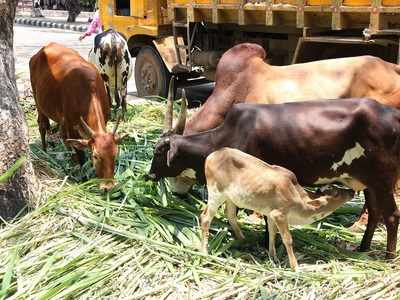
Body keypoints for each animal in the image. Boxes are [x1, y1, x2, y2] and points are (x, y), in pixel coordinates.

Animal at [29, 42, 121, 190]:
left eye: (115, 154)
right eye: (96, 156)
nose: (108, 186)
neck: (89, 92)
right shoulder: (72, 126)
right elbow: (80, 154)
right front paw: (83, 179)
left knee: (62, 135)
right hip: (39, 103)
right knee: (42, 126)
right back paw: (45, 151)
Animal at [202, 149, 354, 270]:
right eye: (336, 193)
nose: (352, 191)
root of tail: (210, 156)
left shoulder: (270, 214)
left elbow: (272, 234)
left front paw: (273, 257)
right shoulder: (279, 214)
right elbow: (288, 239)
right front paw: (295, 267)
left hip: (231, 197)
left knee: (230, 214)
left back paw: (243, 239)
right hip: (216, 192)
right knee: (205, 217)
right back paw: (204, 252)